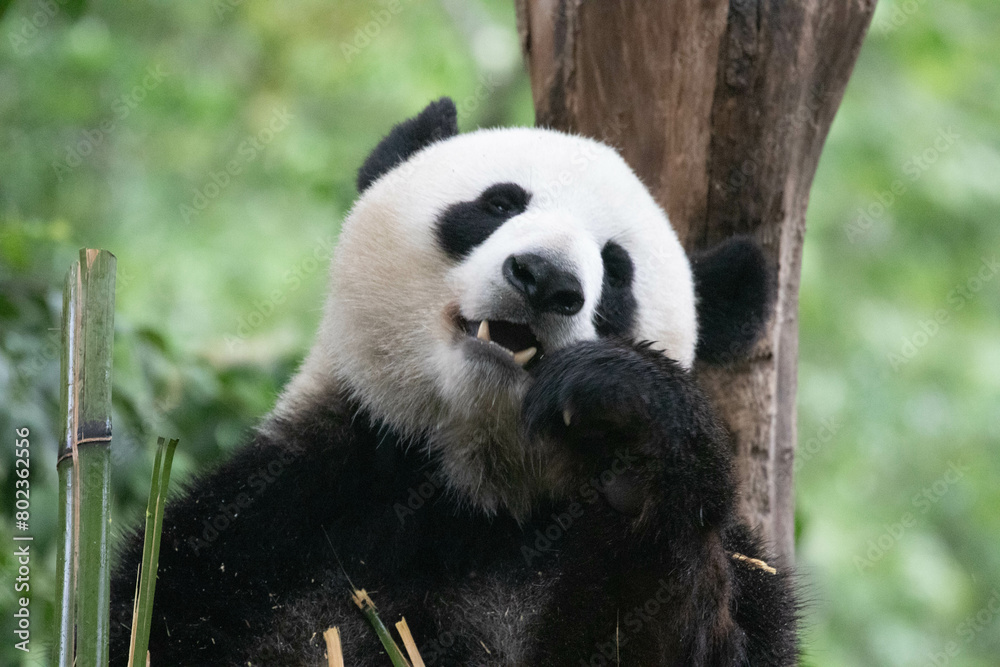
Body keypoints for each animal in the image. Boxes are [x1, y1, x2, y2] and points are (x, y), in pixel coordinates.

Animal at [110, 97, 797, 666]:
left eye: (617, 269)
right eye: (499, 204)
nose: (545, 278)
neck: (464, 489)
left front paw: (629, 437)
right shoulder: (267, 525)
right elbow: (155, 621)